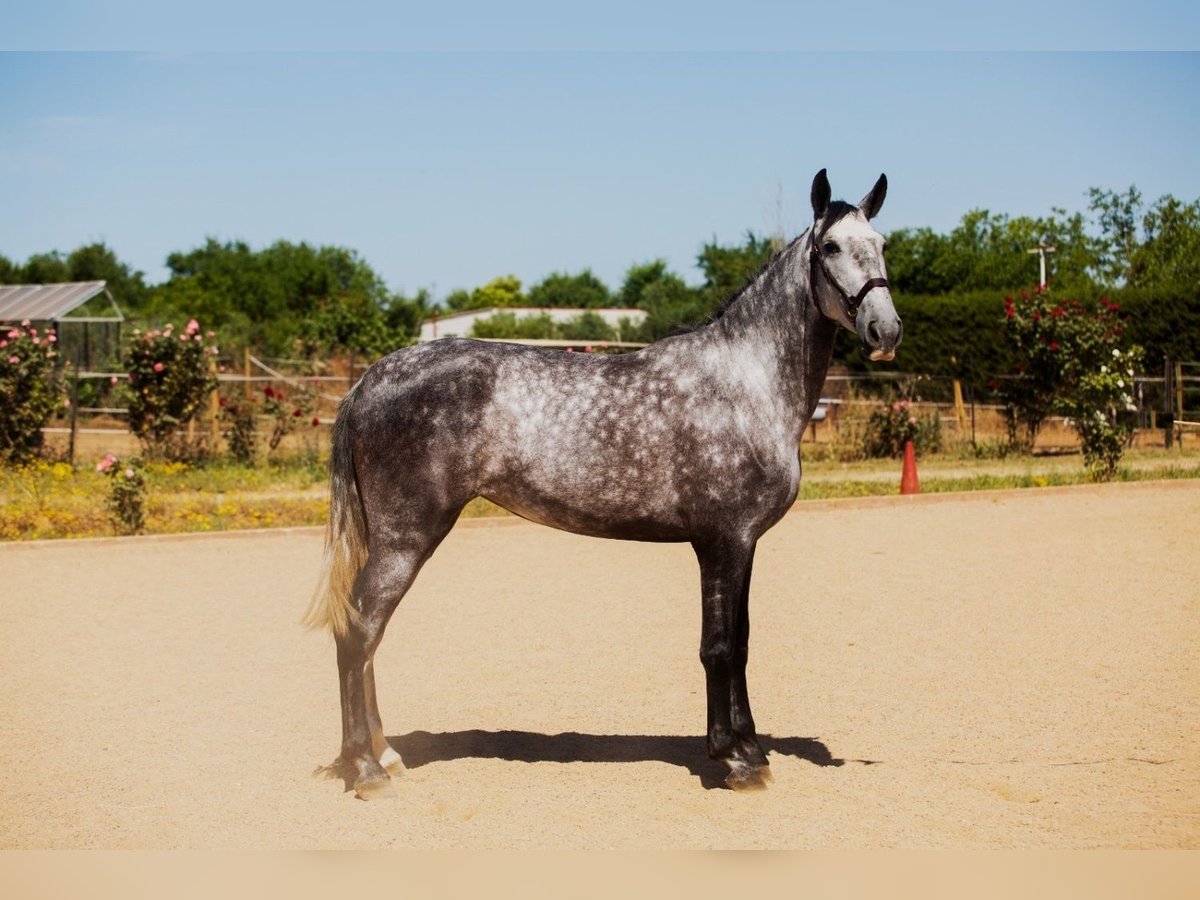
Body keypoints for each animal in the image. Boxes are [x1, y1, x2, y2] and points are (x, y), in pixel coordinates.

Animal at [304, 168, 902, 796]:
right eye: (830, 247)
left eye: (882, 243)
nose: (885, 330)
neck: (746, 384)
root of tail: (369, 381)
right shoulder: (723, 541)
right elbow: (719, 648)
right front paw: (735, 759)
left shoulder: (743, 544)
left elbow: (740, 641)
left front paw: (749, 749)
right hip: (405, 538)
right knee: (358, 631)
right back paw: (366, 769)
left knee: (367, 635)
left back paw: (385, 754)